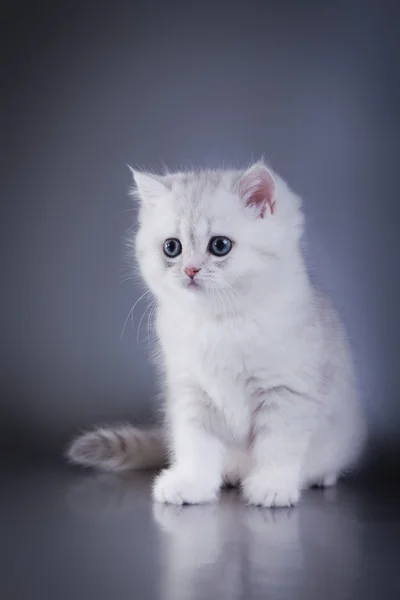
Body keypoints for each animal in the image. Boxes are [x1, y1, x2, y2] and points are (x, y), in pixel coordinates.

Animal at [68, 163, 366, 506]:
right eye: (172, 247)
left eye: (219, 246)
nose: (190, 270)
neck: (219, 323)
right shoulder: (191, 393)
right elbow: (196, 446)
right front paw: (190, 484)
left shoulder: (286, 392)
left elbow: (277, 448)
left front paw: (271, 488)